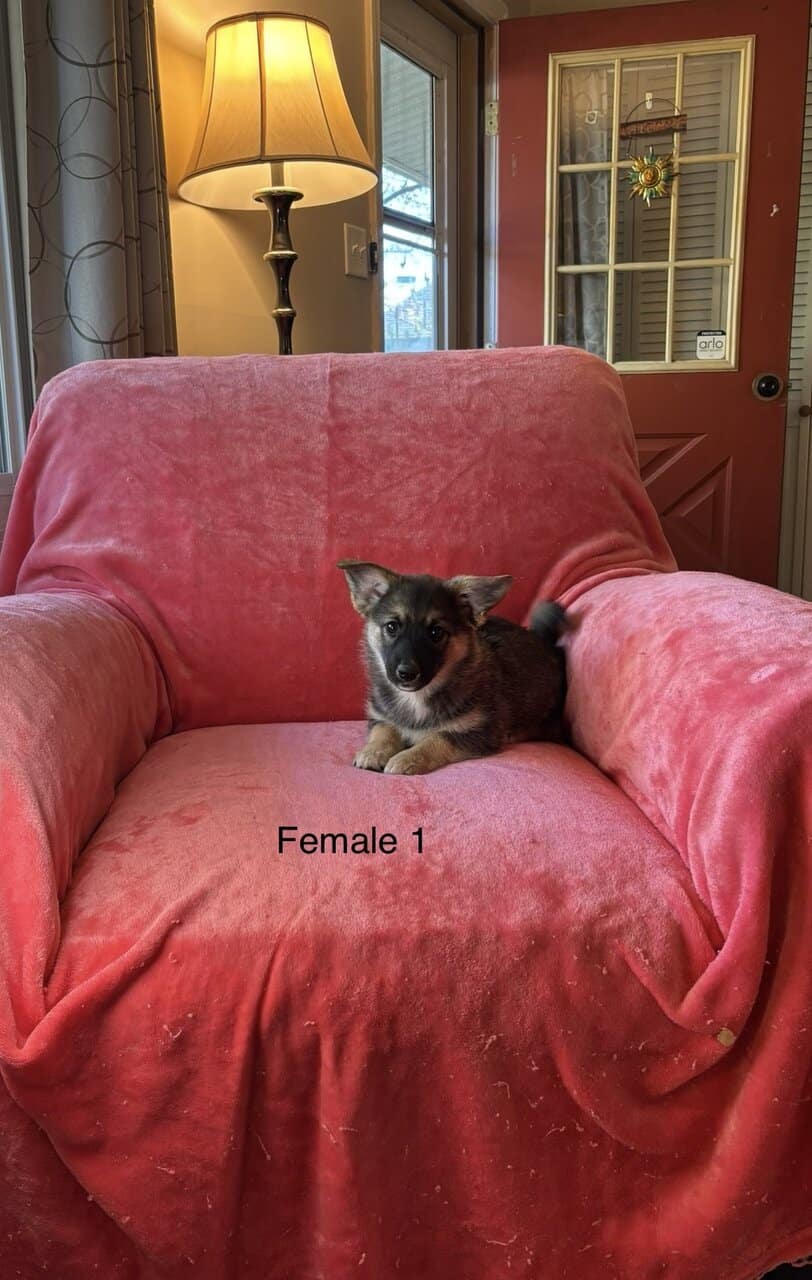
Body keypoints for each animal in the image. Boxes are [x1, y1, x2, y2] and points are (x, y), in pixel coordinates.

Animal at [338, 560, 568, 775]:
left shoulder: (477, 732)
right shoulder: (379, 716)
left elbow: (437, 739)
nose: (406, 674)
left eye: (436, 632)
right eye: (391, 627)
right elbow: (384, 731)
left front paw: (406, 758)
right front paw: (373, 752)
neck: (416, 698)